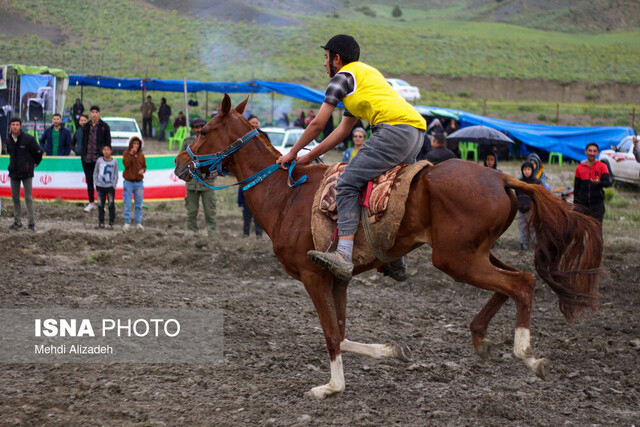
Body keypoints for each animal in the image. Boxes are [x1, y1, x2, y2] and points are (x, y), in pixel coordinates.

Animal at [174, 95, 600, 400]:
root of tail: (503, 178)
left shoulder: (314, 276)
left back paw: (526, 353)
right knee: (515, 278)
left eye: (204, 130)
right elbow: (342, 331)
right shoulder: (338, 277)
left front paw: (331, 387)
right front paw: (391, 351)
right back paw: (481, 337)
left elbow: (331, 334)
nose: (179, 163)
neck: (285, 195)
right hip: (474, 253)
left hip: (457, 258)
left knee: (521, 284)